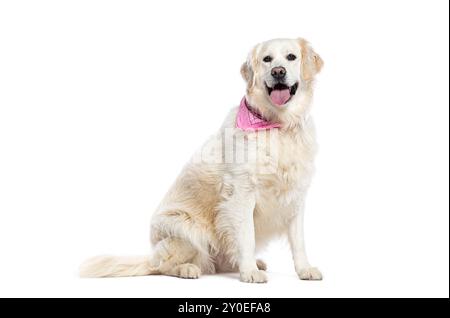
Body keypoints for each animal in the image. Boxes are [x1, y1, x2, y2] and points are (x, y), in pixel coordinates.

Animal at [80, 38, 324, 284]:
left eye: (291, 57)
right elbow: (246, 236)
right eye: (267, 59)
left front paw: (304, 269)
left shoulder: (296, 195)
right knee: (162, 265)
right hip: (185, 228)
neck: (279, 125)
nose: (278, 72)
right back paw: (188, 269)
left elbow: (299, 241)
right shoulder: (241, 193)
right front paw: (249, 272)